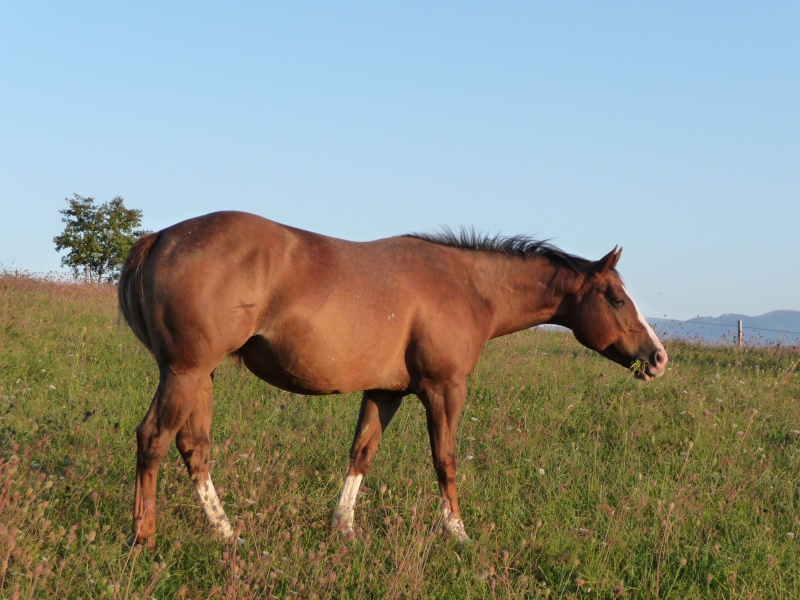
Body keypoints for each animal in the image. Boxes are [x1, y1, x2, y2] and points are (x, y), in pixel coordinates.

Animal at [119, 212, 668, 548]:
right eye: (616, 298)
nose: (658, 358)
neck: (469, 286)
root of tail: (159, 238)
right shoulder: (444, 390)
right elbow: (445, 461)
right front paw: (457, 533)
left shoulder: (385, 391)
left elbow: (361, 453)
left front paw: (343, 528)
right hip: (185, 373)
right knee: (153, 440)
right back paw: (144, 538)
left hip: (200, 376)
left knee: (194, 449)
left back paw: (227, 534)